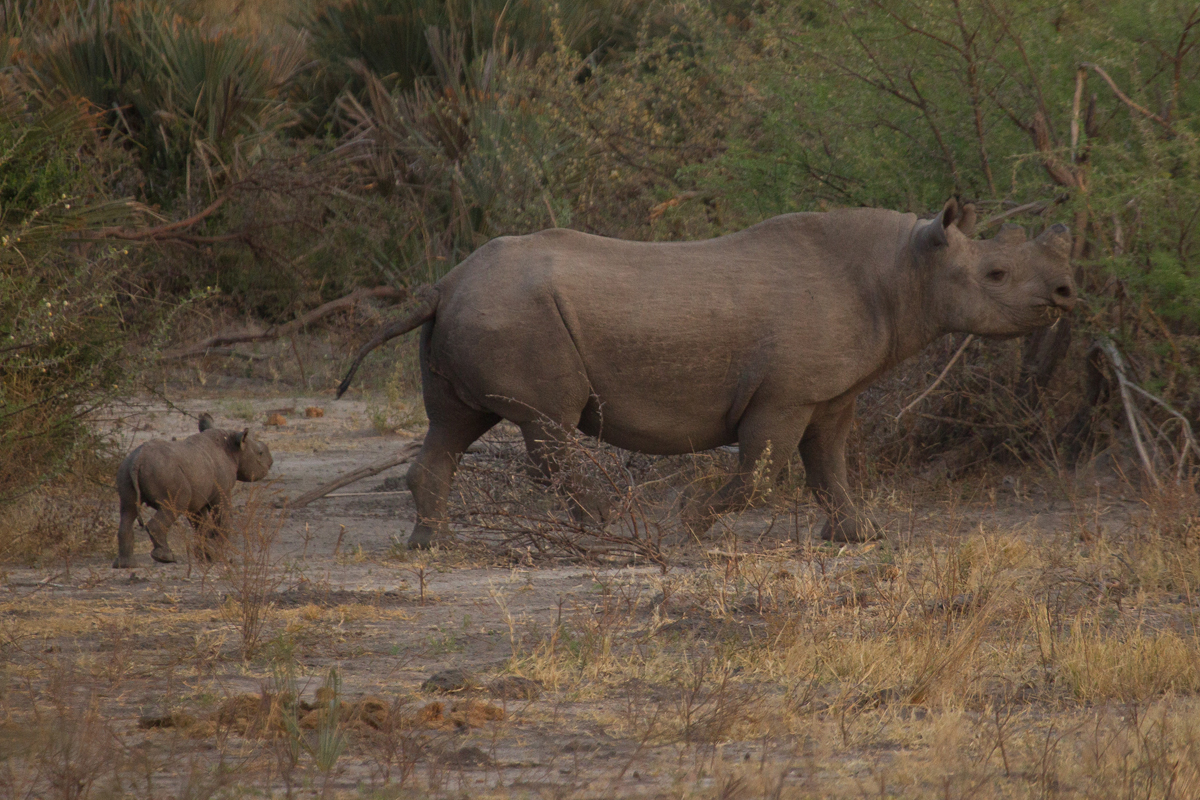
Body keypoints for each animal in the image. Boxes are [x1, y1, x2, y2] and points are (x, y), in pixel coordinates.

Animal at [112, 417, 272, 566]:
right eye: (260, 453)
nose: (271, 461)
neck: (233, 448)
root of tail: (138, 459)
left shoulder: (198, 499)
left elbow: (201, 525)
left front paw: (206, 555)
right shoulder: (222, 490)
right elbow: (222, 517)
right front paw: (217, 554)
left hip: (125, 469)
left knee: (128, 510)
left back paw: (125, 565)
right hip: (165, 472)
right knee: (174, 505)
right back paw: (166, 558)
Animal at [338, 200, 1080, 551]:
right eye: (997, 275)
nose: (1068, 292)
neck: (903, 268)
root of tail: (442, 283)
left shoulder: (832, 391)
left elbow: (831, 465)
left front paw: (859, 536)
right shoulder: (786, 392)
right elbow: (762, 473)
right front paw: (692, 524)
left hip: (478, 309)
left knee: (453, 424)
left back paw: (431, 544)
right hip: (516, 315)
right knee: (546, 422)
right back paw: (607, 522)